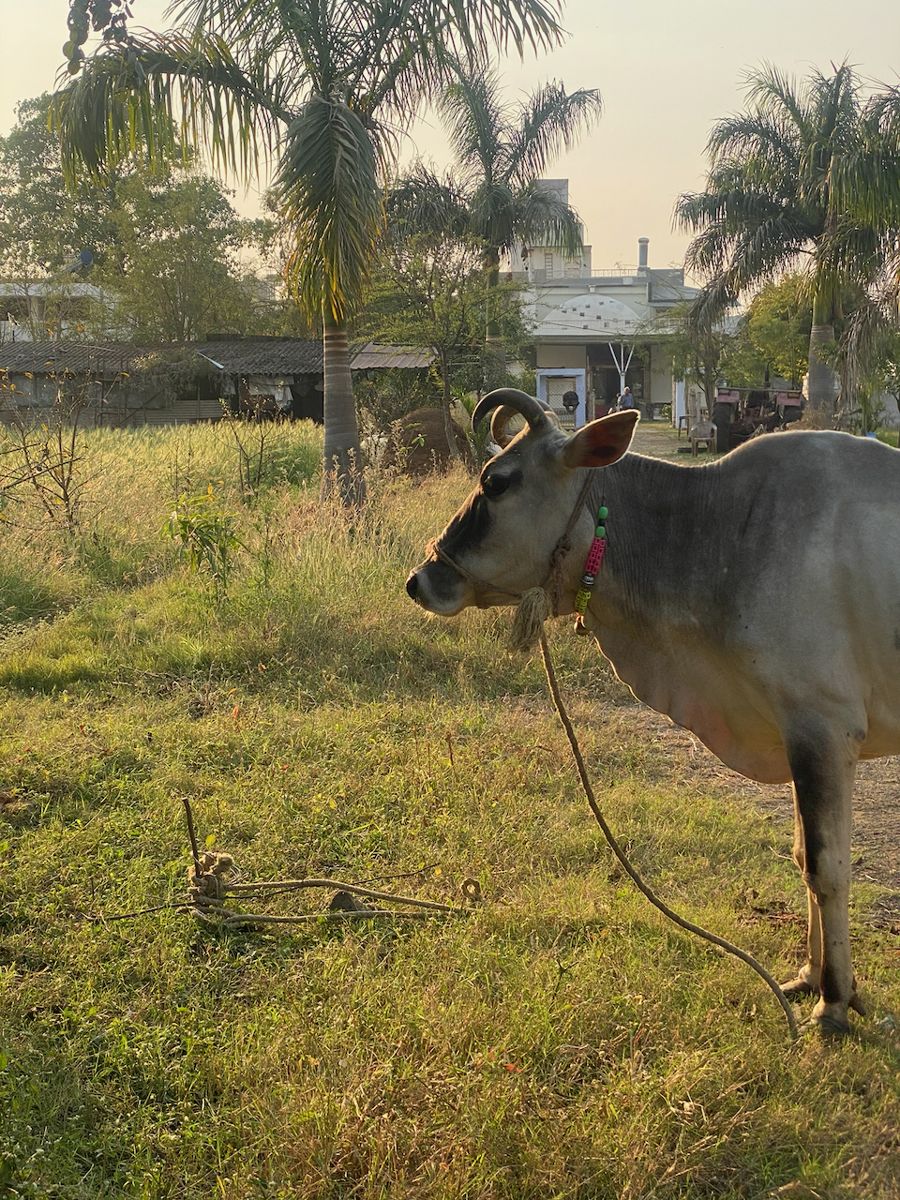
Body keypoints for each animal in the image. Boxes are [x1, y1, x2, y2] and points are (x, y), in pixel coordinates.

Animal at [406, 388, 900, 1035]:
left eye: (497, 482)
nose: (420, 579)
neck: (720, 531)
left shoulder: (822, 727)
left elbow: (826, 867)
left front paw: (835, 1001)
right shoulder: (801, 734)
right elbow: (801, 856)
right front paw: (809, 977)